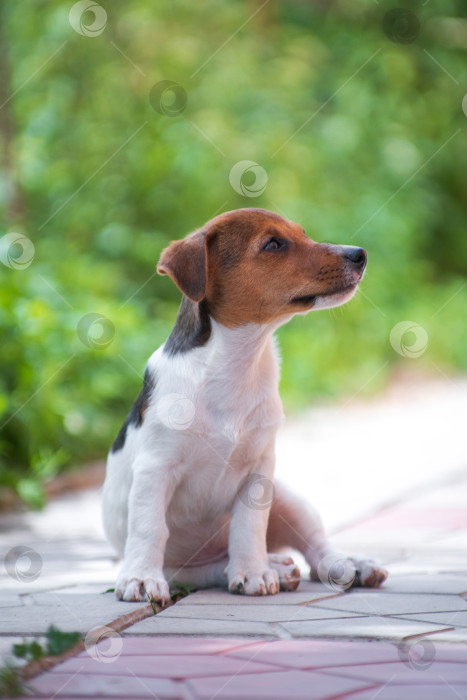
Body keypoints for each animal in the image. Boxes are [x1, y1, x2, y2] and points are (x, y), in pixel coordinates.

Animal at [104, 206, 390, 600]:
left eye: (303, 234)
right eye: (273, 244)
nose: (359, 254)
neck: (239, 361)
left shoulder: (259, 469)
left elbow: (249, 525)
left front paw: (253, 571)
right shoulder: (155, 468)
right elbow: (150, 527)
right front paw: (142, 578)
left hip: (288, 498)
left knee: (316, 548)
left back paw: (344, 564)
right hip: (182, 568)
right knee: (206, 570)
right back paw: (276, 567)